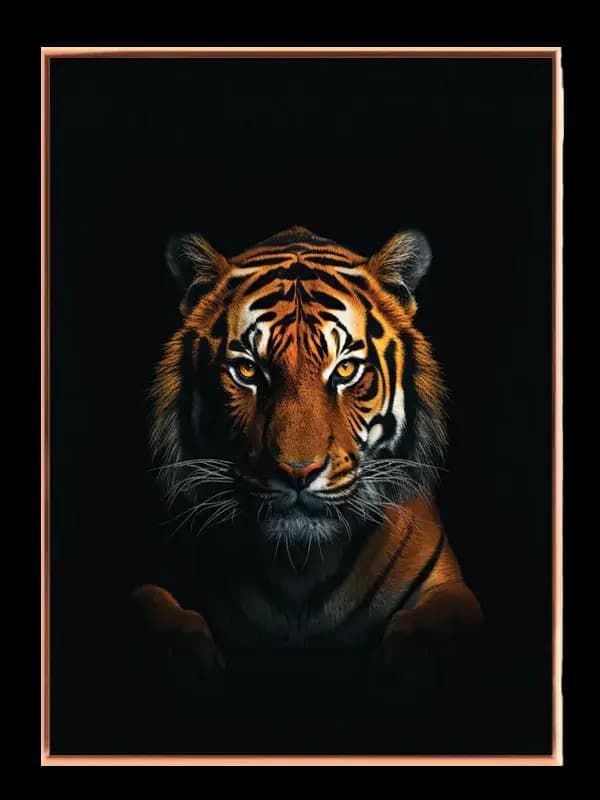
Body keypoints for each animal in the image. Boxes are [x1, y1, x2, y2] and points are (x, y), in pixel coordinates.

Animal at [132, 225, 482, 679]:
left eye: (346, 370)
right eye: (248, 371)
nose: (298, 472)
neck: (299, 567)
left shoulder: (449, 588)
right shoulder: (157, 576)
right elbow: (155, 609)